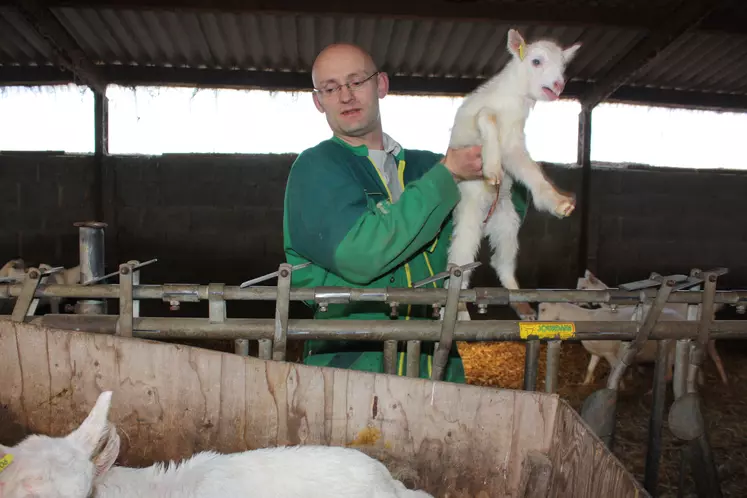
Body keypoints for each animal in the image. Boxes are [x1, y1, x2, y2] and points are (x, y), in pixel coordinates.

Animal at [448, 29, 580, 320]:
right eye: (536, 61)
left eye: (564, 66)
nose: (558, 86)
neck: (509, 102)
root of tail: (487, 220)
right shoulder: (472, 125)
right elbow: (486, 117)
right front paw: (491, 168)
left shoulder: (514, 144)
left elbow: (531, 171)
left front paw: (558, 202)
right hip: (469, 217)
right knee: (458, 266)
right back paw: (460, 311)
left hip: (506, 221)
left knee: (501, 260)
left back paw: (520, 302)